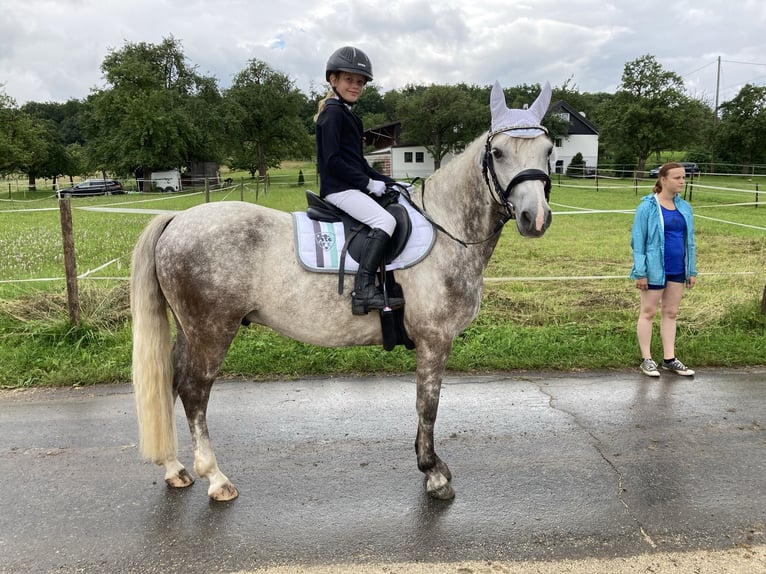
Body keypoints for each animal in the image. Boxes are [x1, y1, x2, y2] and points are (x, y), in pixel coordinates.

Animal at [130, 81, 554, 502]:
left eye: (548, 151)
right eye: (498, 153)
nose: (535, 218)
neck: (446, 228)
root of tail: (177, 220)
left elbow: (424, 404)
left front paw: (429, 466)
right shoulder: (435, 339)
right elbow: (427, 404)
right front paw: (433, 474)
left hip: (189, 330)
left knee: (171, 383)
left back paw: (175, 470)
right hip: (211, 332)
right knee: (194, 392)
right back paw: (215, 478)